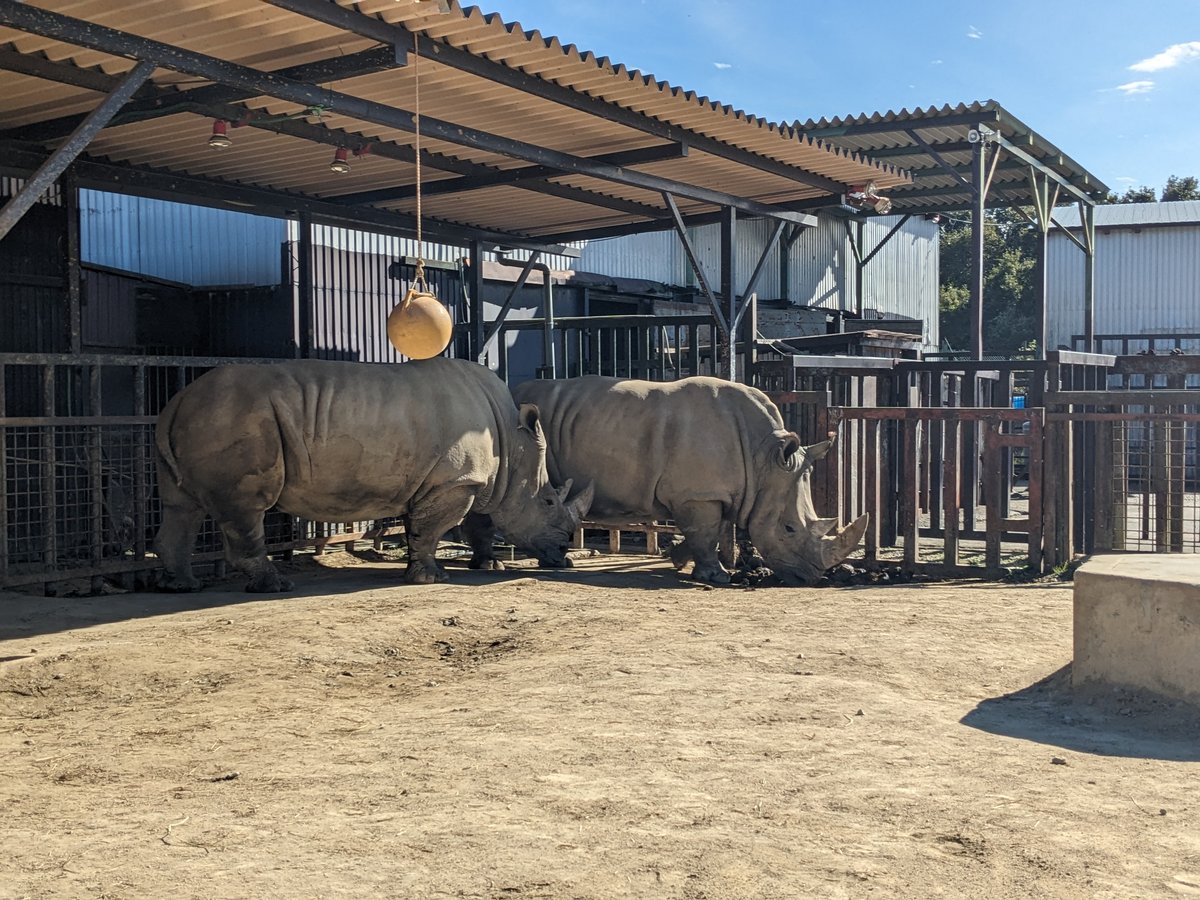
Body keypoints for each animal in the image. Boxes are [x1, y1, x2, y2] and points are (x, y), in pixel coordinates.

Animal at [153, 358, 591, 592]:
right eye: (548, 501)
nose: (564, 551)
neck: (512, 446)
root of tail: (177, 401)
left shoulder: (471, 480)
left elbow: (468, 524)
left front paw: (486, 566)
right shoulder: (457, 480)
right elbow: (434, 529)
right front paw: (430, 578)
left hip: (204, 417)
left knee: (181, 507)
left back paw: (181, 585)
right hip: (237, 419)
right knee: (246, 508)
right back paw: (276, 585)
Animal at [474, 375, 867, 586]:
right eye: (788, 529)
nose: (812, 577)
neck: (765, 460)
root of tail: (513, 388)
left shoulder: (711, 492)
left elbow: (708, 531)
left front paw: (679, 559)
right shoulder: (699, 494)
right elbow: (706, 532)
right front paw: (716, 577)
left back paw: (555, 561)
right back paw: (495, 566)